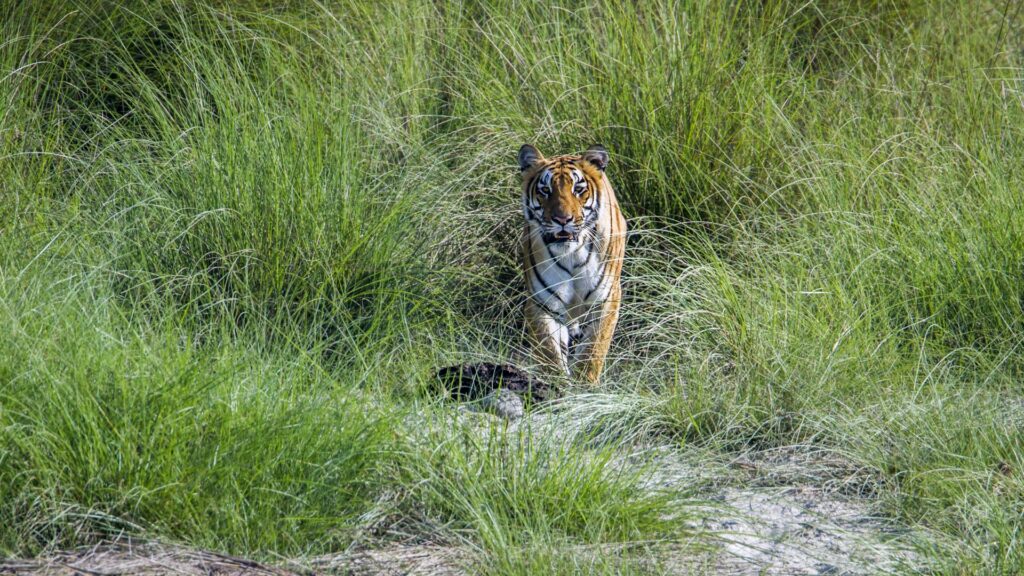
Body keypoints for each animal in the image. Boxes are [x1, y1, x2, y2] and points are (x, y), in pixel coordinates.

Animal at [518, 143, 627, 384]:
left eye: (578, 189)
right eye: (545, 190)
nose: (562, 220)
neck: (572, 255)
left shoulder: (605, 300)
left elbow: (592, 352)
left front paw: (585, 386)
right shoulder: (543, 304)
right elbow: (549, 353)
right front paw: (556, 385)